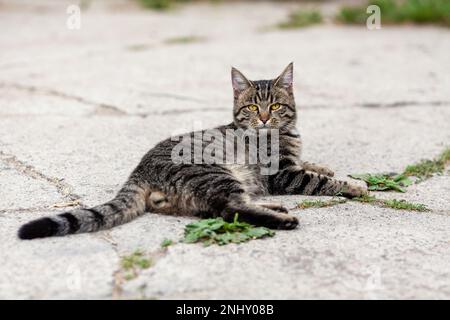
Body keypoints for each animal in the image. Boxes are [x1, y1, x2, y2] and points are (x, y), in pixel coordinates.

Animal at [19, 62, 368, 239]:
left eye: (276, 106)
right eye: (252, 107)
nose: (264, 118)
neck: (281, 132)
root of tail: (140, 168)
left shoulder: (292, 161)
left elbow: (310, 164)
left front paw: (323, 165)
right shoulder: (282, 174)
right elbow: (319, 181)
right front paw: (354, 185)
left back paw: (275, 208)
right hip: (217, 173)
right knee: (230, 209)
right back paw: (283, 219)